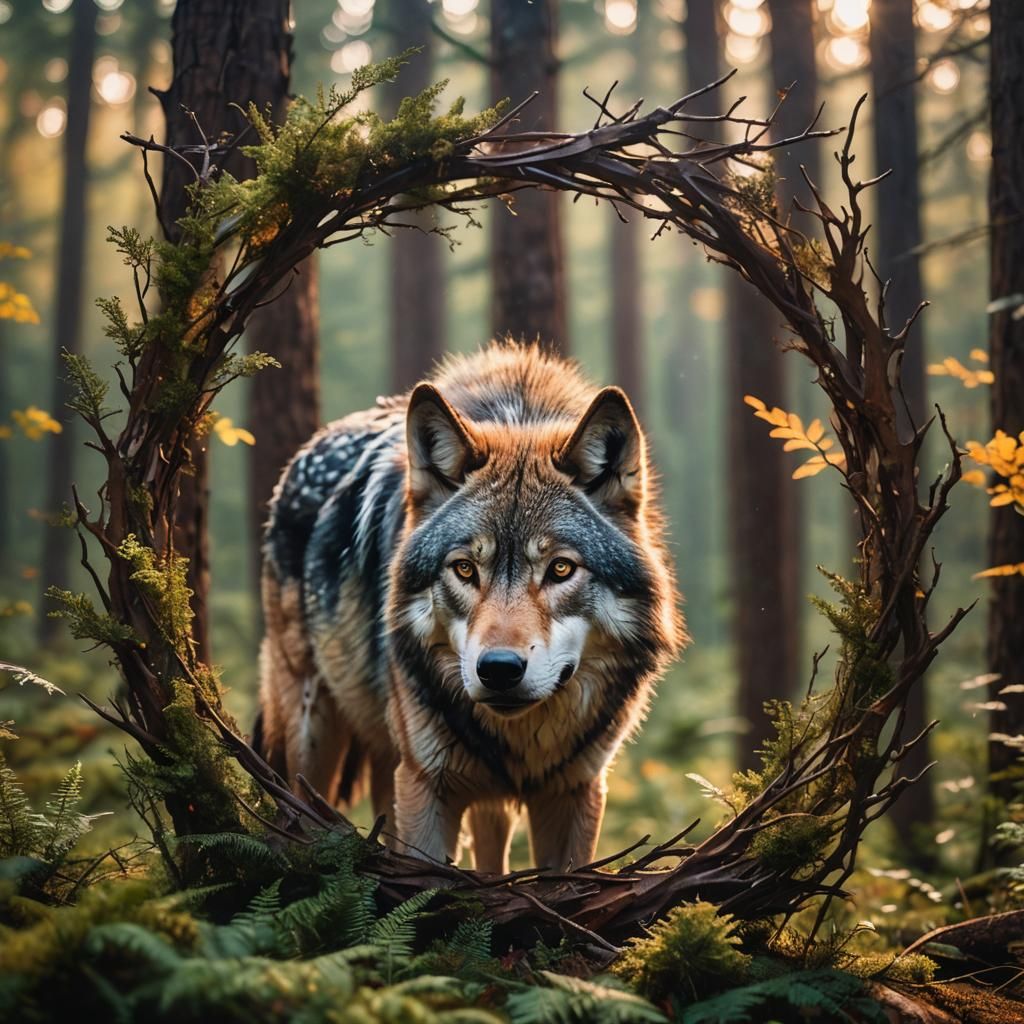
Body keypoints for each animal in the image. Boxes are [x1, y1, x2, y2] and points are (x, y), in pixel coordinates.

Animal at [255, 343, 685, 872]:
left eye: (561, 569)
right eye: (464, 569)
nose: (499, 669)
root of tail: (304, 452)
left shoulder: (576, 792)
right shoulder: (425, 786)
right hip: (313, 734)